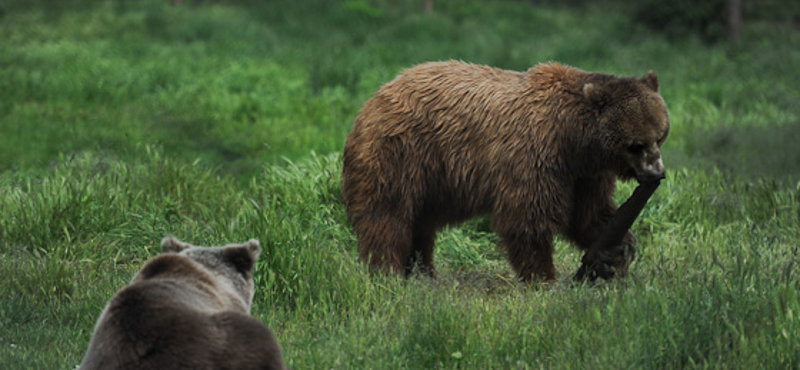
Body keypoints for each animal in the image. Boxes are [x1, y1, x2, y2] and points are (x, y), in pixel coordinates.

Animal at [342, 60, 668, 282]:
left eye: (661, 134)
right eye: (635, 145)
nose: (657, 174)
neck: (573, 140)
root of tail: (375, 97)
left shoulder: (585, 175)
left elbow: (589, 215)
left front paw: (615, 252)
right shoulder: (534, 157)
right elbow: (528, 218)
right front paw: (542, 277)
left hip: (429, 179)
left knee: (420, 225)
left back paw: (424, 272)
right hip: (401, 154)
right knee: (388, 217)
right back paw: (388, 272)